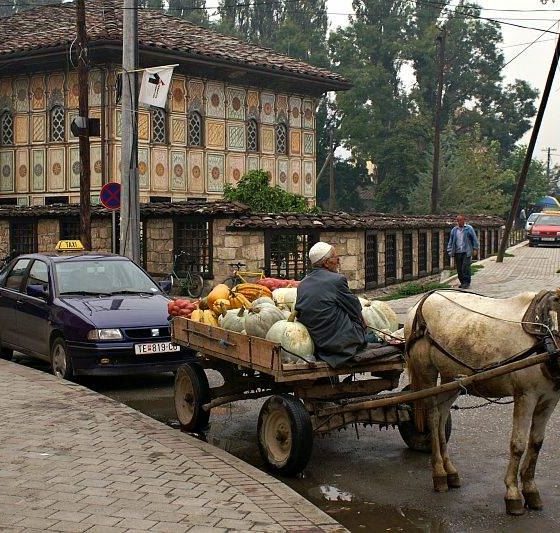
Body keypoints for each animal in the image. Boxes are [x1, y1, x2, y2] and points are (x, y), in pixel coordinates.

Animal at [404, 288, 560, 512]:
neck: (545, 336)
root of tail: (418, 305)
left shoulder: (550, 399)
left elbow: (536, 444)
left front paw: (531, 490)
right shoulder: (525, 396)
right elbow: (518, 444)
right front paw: (513, 493)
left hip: (452, 379)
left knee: (442, 417)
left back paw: (450, 471)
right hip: (427, 375)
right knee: (432, 418)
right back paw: (439, 473)